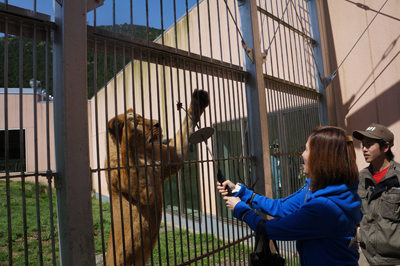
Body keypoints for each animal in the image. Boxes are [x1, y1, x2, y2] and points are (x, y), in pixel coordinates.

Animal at [104, 90, 209, 266]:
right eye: (140, 121)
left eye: (144, 117)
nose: (158, 123)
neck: (142, 152)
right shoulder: (139, 188)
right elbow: (128, 156)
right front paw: (129, 126)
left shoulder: (172, 157)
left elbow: (185, 127)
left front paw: (199, 99)